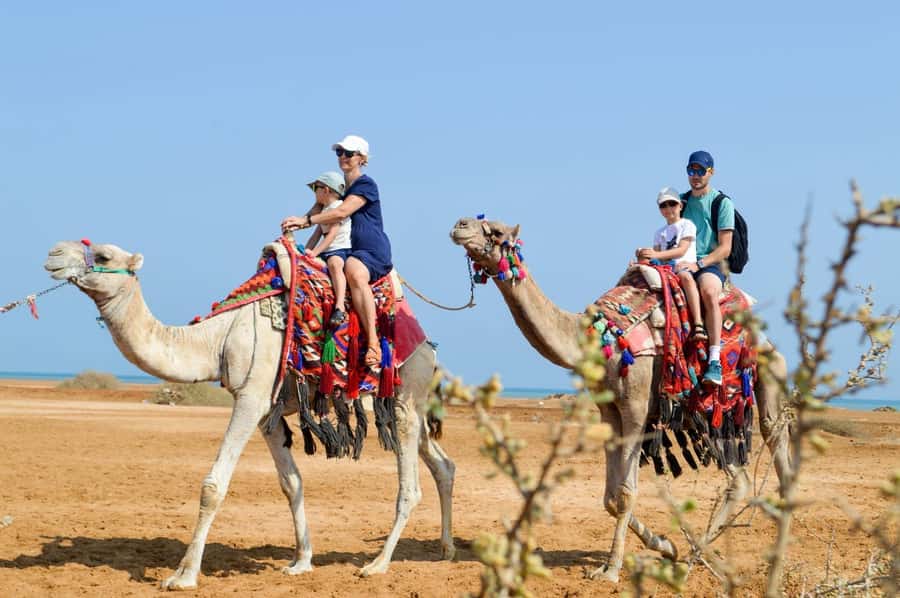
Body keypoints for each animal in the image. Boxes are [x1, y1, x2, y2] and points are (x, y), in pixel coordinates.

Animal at [44, 240, 456, 590]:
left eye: (104, 255)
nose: (53, 253)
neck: (218, 339)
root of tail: (429, 346)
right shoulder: (266, 411)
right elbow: (291, 483)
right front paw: (301, 561)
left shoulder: (251, 397)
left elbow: (213, 486)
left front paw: (183, 576)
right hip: (405, 405)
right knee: (442, 464)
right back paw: (446, 549)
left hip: (405, 395)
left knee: (410, 487)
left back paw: (377, 564)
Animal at [450, 217, 792, 583]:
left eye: (497, 232)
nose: (460, 225)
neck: (600, 337)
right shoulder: (609, 410)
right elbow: (610, 497)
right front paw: (665, 545)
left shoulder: (636, 406)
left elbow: (626, 493)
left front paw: (611, 570)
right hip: (706, 415)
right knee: (738, 479)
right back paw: (693, 557)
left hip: (767, 377)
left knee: (776, 451)